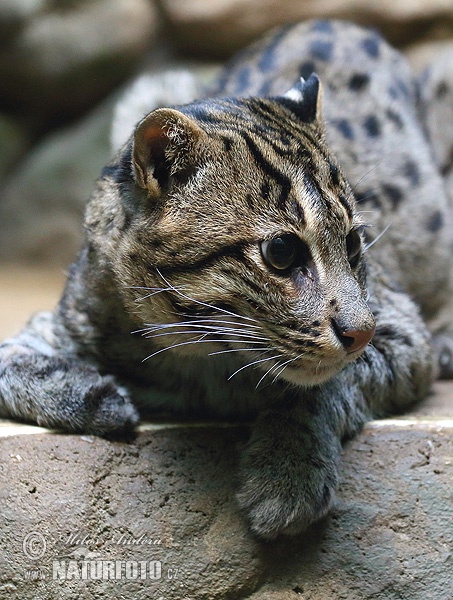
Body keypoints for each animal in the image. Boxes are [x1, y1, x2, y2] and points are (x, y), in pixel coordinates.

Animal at [0, 19, 452, 540]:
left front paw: (286, 477)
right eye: (281, 252)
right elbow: (9, 360)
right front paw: (95, 396)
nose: (361, 334)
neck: (200, 356)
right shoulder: (64, 320)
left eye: (355, 244)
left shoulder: (400, 330)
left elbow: (321, 387)